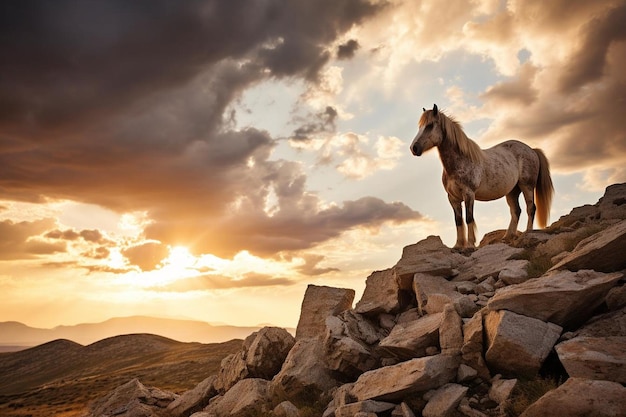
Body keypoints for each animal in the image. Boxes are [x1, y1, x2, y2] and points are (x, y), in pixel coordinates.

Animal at [410, 104, 552, 247]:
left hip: (527, 186)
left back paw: (528, 233)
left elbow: (469, 218)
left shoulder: (469, 194)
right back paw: (507, 237)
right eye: (420, 126)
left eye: (430, 125)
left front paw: (470, 245)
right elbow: (458, 220)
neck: (460, 161)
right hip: (512, 191)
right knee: (516, 211)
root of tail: (532, 150)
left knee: (531, 208)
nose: (413, 148)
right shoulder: (453, 198)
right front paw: (458, 245)